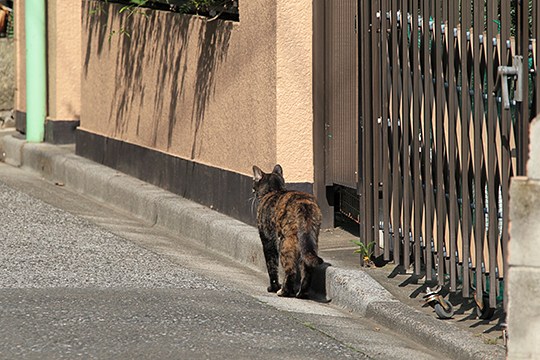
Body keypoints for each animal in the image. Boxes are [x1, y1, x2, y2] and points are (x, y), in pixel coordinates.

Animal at [251, 165, 322, 296]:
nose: (253, 190)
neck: (274, 190)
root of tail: (303, 204)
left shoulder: (267, 240)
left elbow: (271, 265)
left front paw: (273, 287)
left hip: (285, 242)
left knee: (290, 270)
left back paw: (283, 291)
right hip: (309, 241)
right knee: (307, 267)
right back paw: (301, 293)